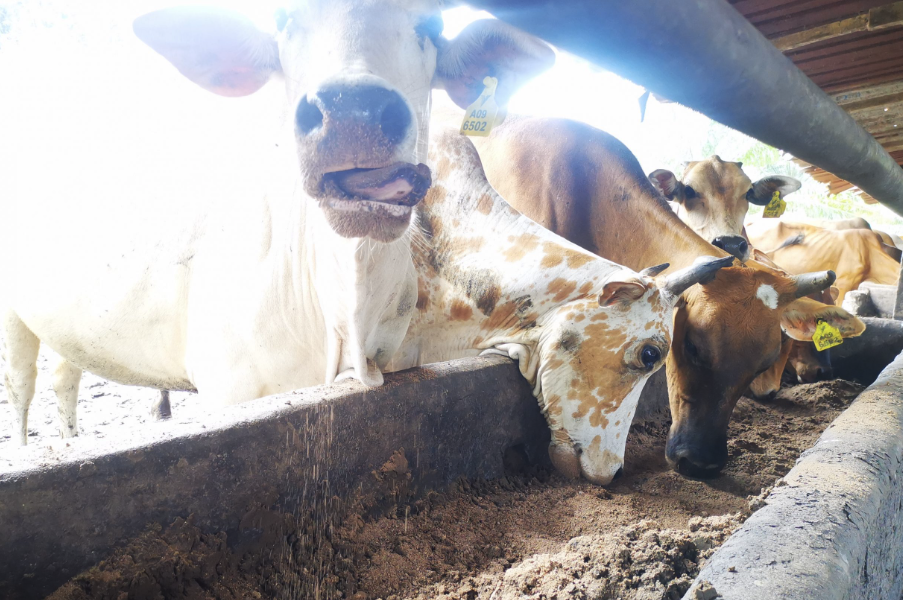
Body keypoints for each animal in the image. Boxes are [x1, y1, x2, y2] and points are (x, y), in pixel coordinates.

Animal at [1, 2, 556, 446]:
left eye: (433, 24)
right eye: (285, 19)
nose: (353, 111)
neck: (347, 315)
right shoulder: (228, 389)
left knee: (64, 376)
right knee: (22, 390)